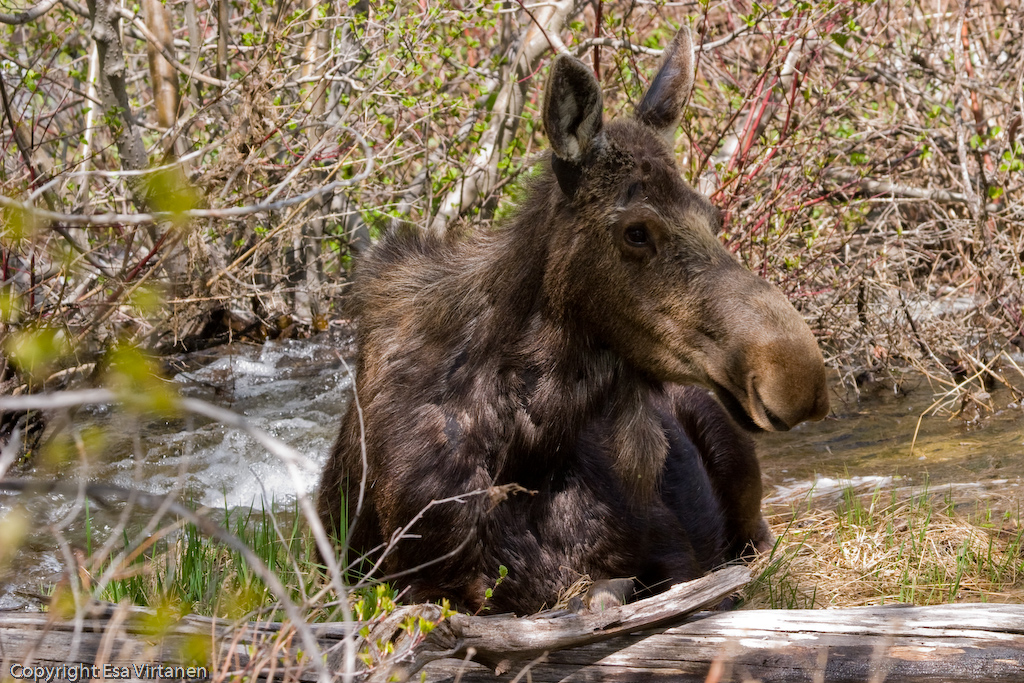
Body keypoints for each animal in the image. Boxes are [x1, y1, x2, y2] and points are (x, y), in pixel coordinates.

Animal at [317, 27, 829, 615]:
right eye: (636, 231)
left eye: (714, 216)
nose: (798, 377)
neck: (522, 451)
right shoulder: (408, 581)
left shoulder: (667, 549)